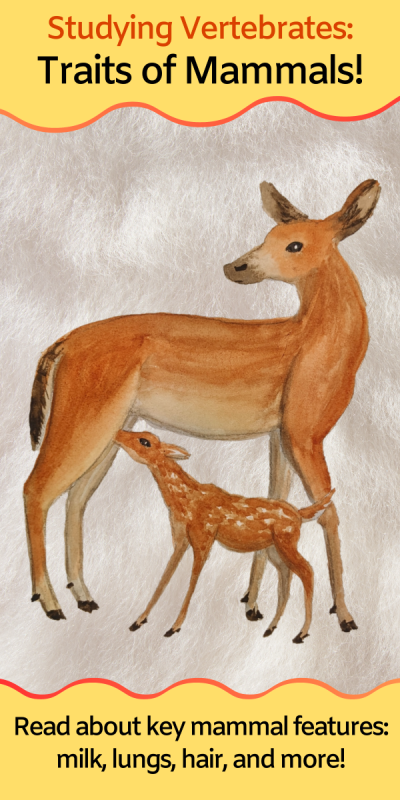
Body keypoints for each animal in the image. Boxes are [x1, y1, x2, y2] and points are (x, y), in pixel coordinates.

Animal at [115, 430, 335, 643]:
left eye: (145, 441)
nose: (117, 433)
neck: (186, 503)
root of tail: (300, 515)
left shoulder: (205, 536)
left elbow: (193, 578)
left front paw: (174, 627)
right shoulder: (180, 539)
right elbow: (166, 574)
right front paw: (138, 620)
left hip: (286, 541)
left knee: (307, 570)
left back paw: (301, 633)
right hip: (275, 549)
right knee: (287, 577)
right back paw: (270, 628)